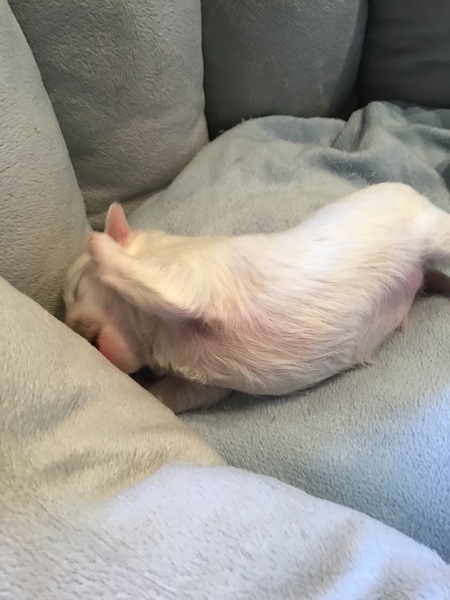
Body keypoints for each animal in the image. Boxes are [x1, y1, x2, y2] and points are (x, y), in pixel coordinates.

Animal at [64, 182, 450, 413]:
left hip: (431, 230)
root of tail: (408, 188)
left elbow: (144, 277)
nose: (67, 324)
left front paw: (97, 242)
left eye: (76, 289)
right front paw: (147, 391)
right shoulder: (205, 386)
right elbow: (176, 394)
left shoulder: (192, 281)